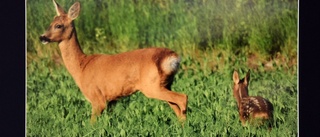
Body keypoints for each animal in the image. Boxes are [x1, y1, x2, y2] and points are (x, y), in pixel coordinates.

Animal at [40, 0, 189, 123]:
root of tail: (172, 57)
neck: (81, 66)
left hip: (151, 86)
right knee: (176, 107)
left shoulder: (96, 98)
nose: (42, 37)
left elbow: (92, 124)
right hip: (165, 84)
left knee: (183, 98)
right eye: (50, 24)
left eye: (58, 26)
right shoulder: (111, 100)